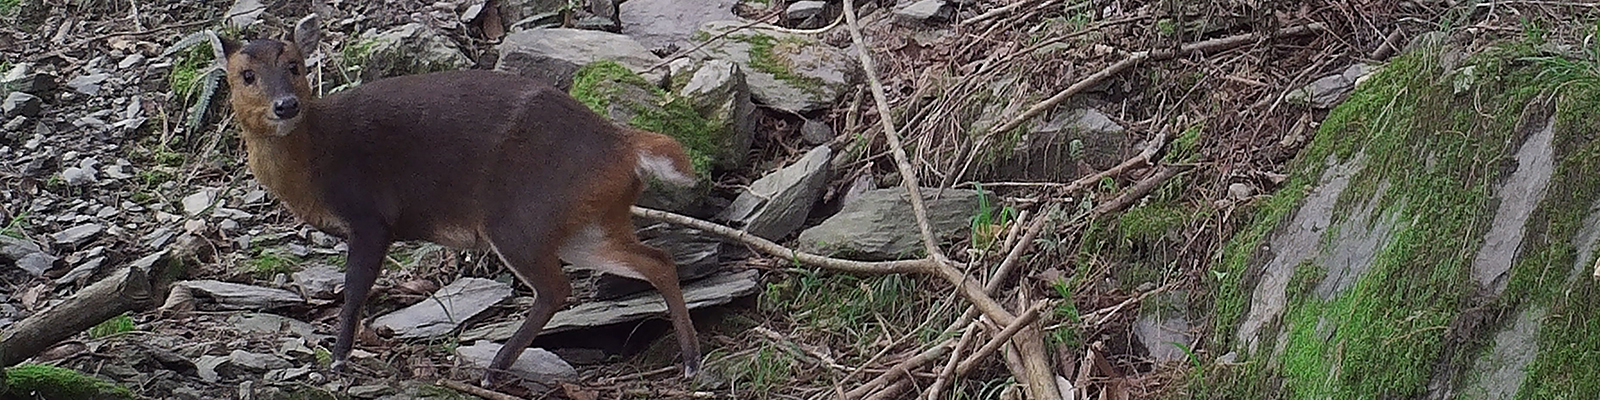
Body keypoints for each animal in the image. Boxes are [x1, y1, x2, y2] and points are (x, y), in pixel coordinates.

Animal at [217, 14, 700, 384]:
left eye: (295, 66)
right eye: (246, 75)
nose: (286, 106)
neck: (318, 158)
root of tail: (625, 146)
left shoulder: (372, 216)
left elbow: (355, 290)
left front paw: (337, 359)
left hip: (521, 215)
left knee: (556, 289)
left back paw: (493, 369)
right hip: (585, 222)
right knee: (656, 261)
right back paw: (691, 362)